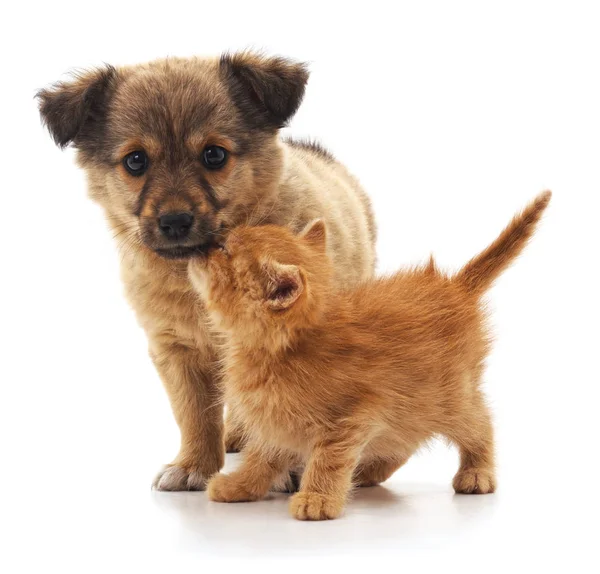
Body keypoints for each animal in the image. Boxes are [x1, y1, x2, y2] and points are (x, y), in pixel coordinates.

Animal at [37, 54, 376, 492]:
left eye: (214, 155)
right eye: (135, 161)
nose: (175, 222)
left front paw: (288, 466)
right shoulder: (178, 349)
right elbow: (194, 414)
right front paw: (193, 465)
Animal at [190, 192, 552, 520]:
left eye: (224, 250)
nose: (200, 247)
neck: (277, 351)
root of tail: (456, 287)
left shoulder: (356, 415)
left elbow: (328, 460)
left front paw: (318, 498)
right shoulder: (276, 419)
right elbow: (261, 456)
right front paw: (241, 485)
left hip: (449, 399)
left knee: (480, 424)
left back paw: (477, 473)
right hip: (414, 402)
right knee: (405, 440)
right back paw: (368, 472)